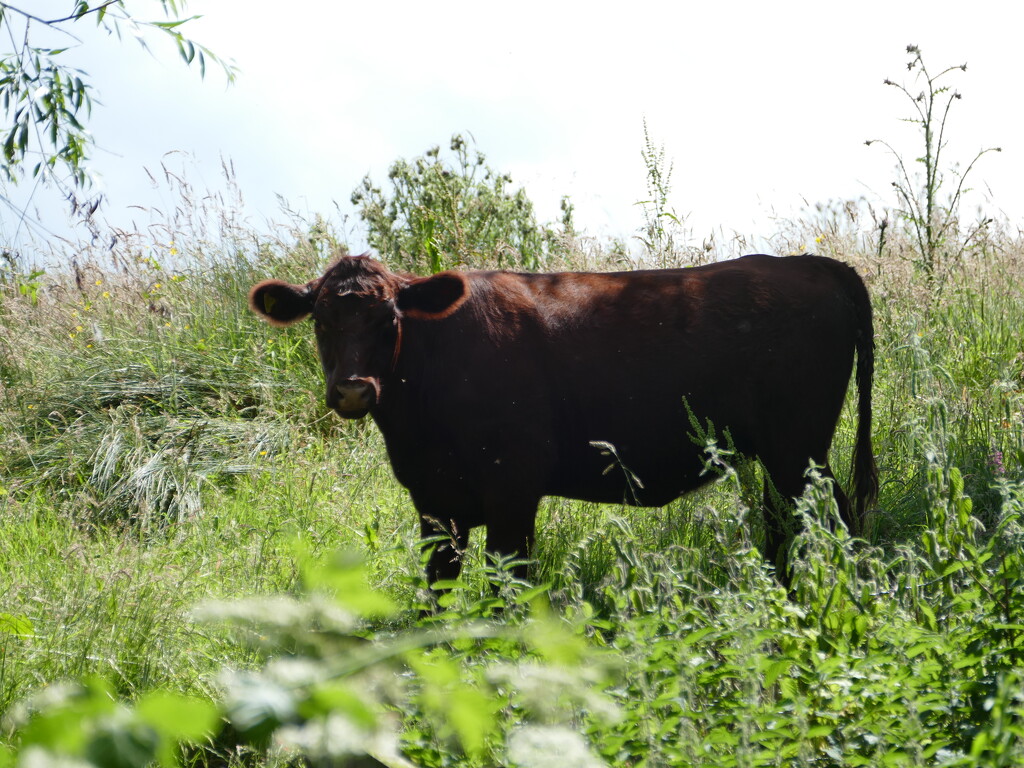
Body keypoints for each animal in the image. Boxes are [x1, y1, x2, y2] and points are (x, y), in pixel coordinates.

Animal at [249, 252, 880, 589]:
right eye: (321, 320)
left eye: (389, 319)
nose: (354, 388)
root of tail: (812, 264)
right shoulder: (432, 500)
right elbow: (439, 585)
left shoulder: (513, 485)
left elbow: (507, 580)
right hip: (781, 457)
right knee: (785, 529)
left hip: (799, 450)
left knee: (838, 522)